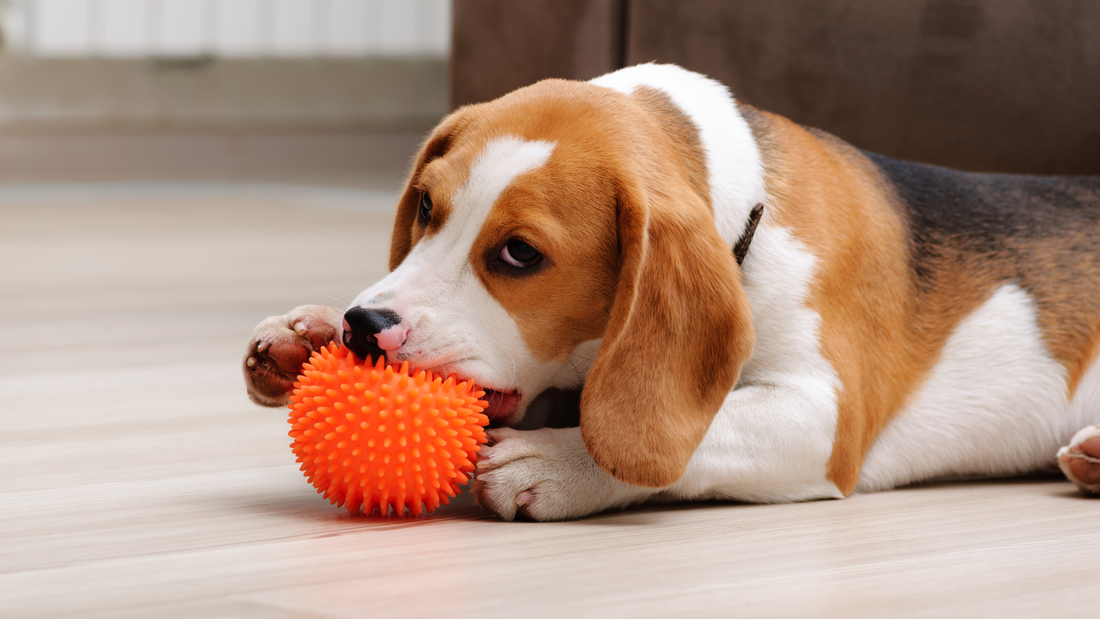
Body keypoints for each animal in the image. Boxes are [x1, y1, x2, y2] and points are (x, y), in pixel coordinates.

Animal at [245, 64, 1100, 518]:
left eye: (520, 254)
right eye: (426, 206)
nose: (365, 324)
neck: (748, 203)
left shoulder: (825, 417)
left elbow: (692, 432)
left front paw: (557, 463)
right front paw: (304, 332)